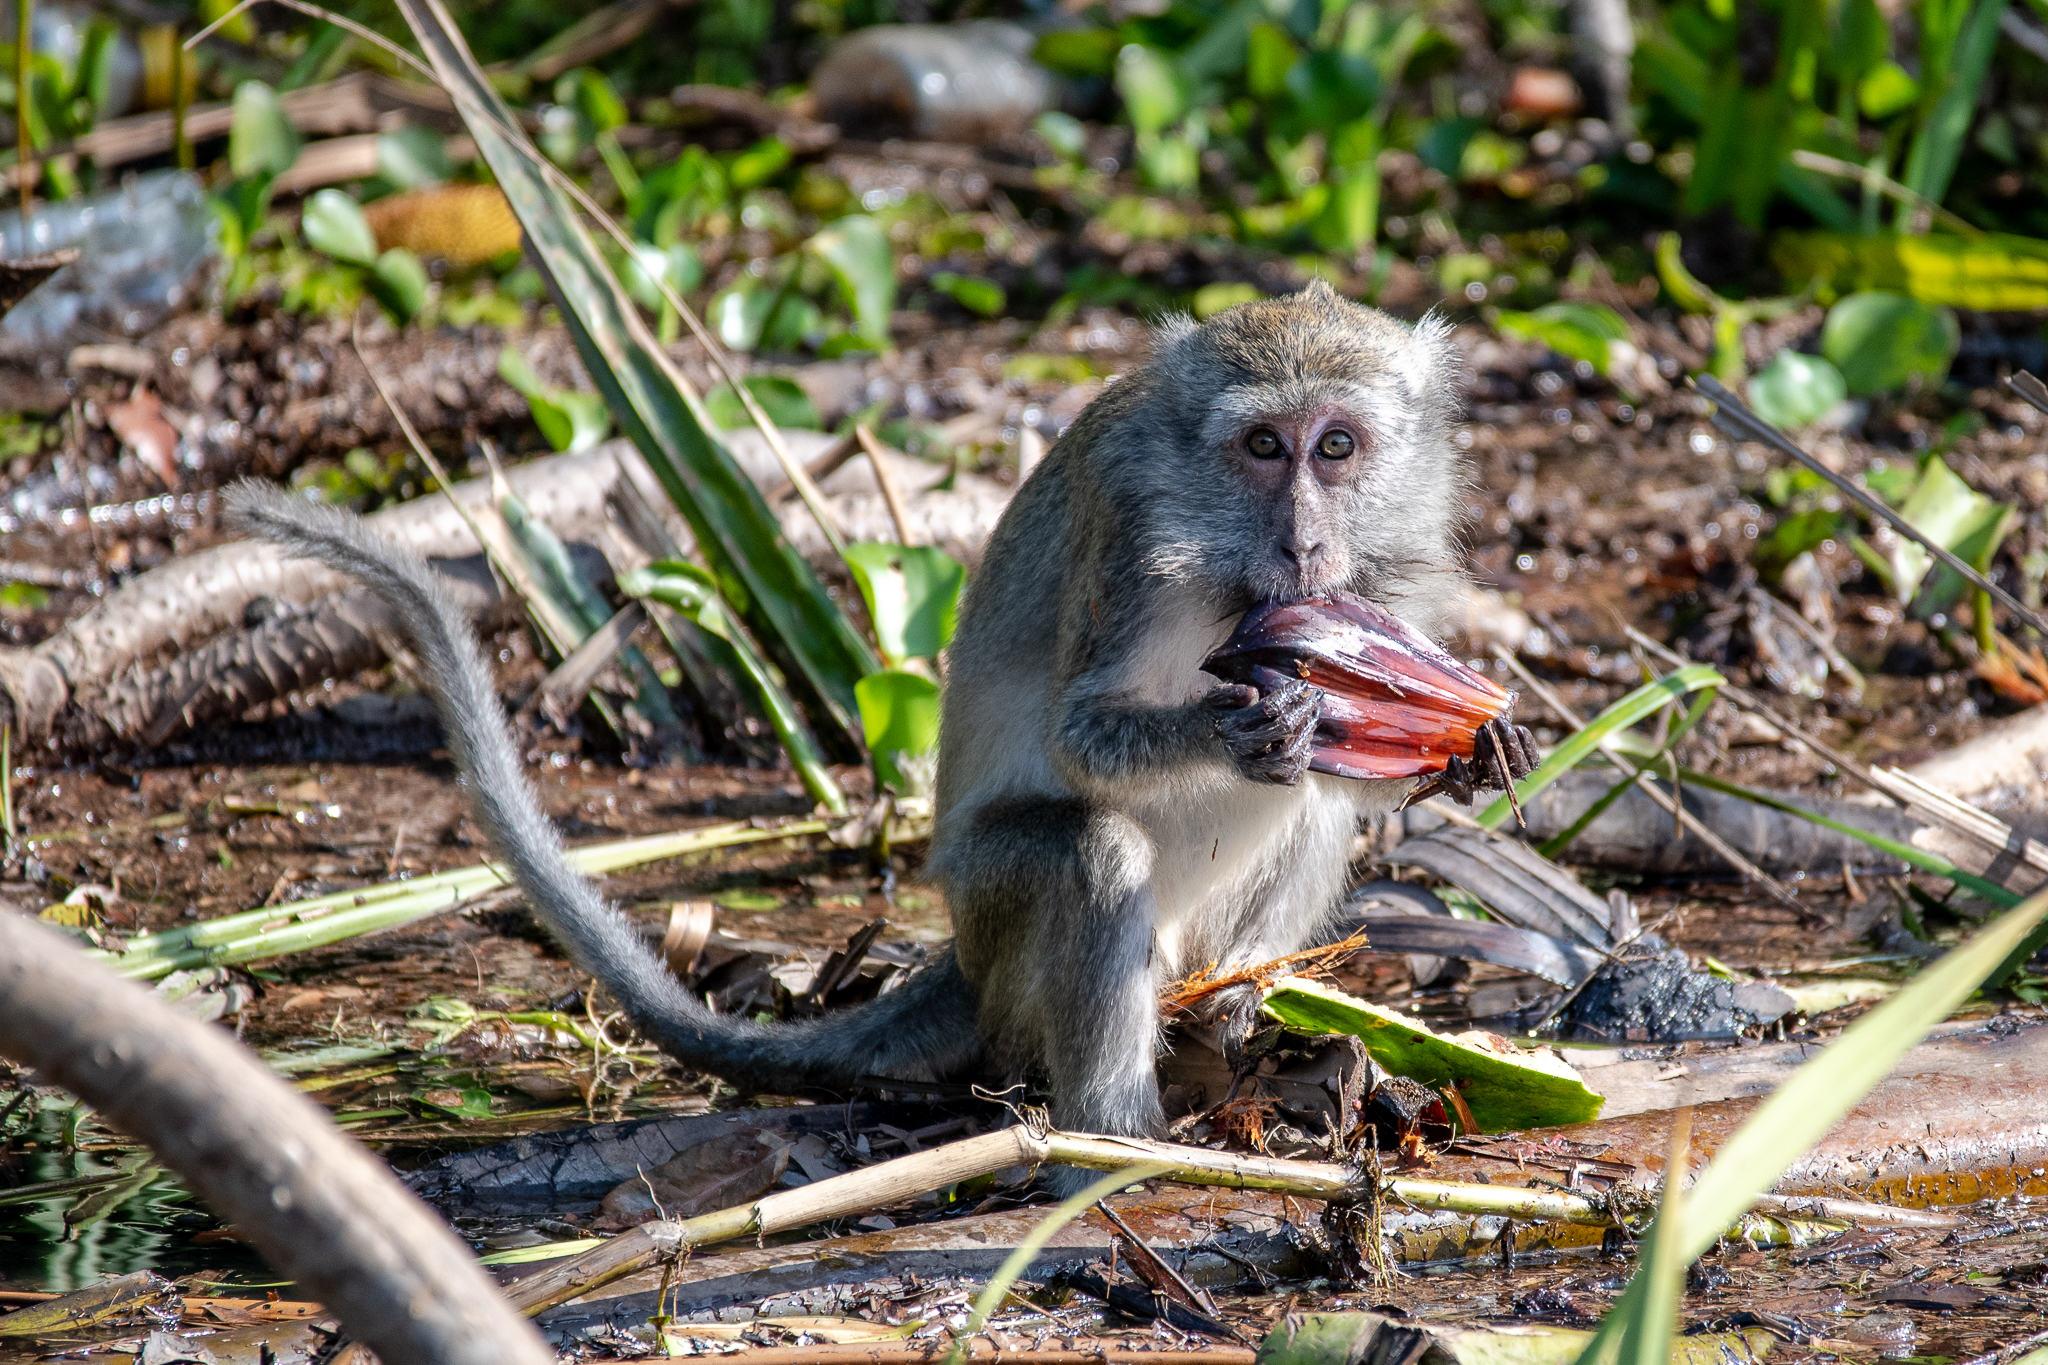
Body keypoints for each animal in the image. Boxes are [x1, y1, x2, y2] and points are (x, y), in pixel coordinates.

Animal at [226, 279, 1532, 1183]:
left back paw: (1235, 1016)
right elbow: (1084, 737)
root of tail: (960, 955)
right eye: (1263, 446)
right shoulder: (1133, 536)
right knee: (1092, 850)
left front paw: (1468, 751)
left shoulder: (1385, 577)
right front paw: (1252, 730)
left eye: (1336, 447)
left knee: (1312, 818)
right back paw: (1117, 1133)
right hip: (1002, 932)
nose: (1306, 541)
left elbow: (1357, 769)